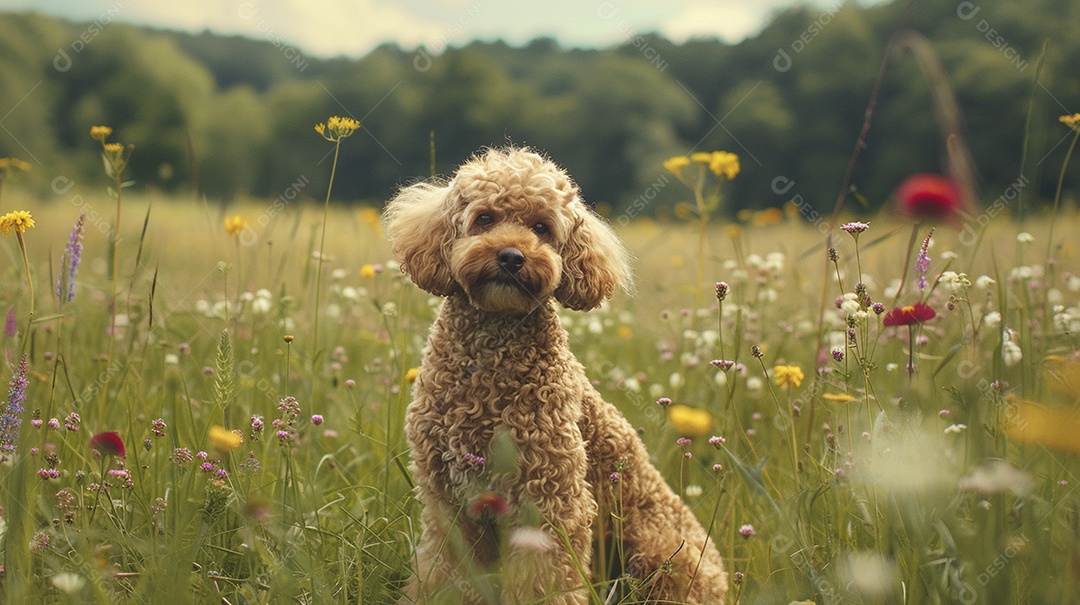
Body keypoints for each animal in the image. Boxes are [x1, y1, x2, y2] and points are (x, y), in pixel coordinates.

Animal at [384, 148, 730, 605]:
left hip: (660, 557)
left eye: (541, 228)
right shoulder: (449, 505)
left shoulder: (551, 502)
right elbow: (444, 573)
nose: (511, 257)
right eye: (484, 219)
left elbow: (543, 581)